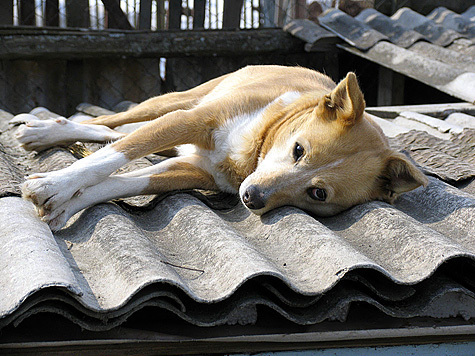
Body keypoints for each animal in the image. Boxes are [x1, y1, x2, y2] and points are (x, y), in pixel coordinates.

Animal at [13, 64, 428, 231]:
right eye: (298, 151)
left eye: (318, 193)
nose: (252, 198)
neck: (255, 148)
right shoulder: (192, 121)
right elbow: (110, 160)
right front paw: (51, 185)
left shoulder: (194, 172)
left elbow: (117, 182)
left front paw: (65, 204)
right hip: (176, 102)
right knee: (113, 126)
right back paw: (43, 131)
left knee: (112, 133)